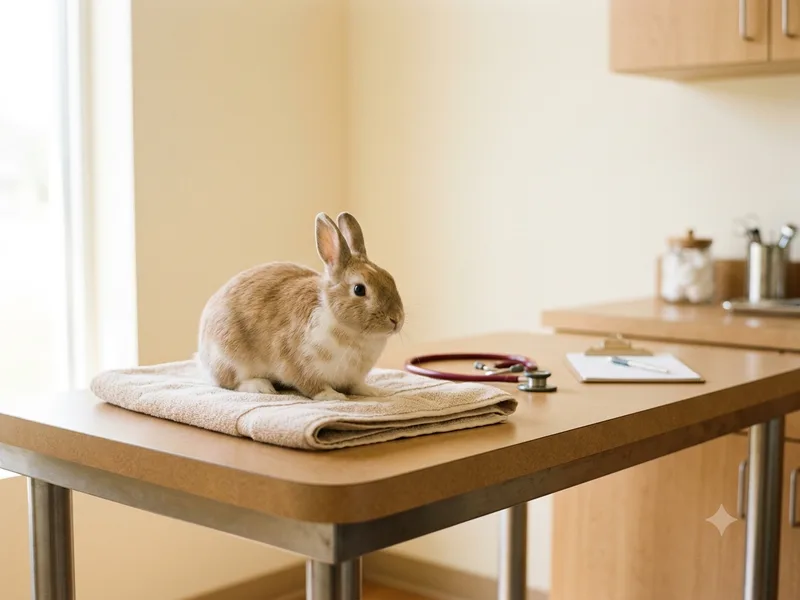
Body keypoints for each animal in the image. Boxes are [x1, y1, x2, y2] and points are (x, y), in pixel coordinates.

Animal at [196, 211, 405, 401]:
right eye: (359, 289)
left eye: (390, 278)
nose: (397, 319)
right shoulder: (299, 362)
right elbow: (312, 385)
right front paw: (332, 395)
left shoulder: (353, 377)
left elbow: (356, 385)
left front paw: (372, 391)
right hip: (229, 357)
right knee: (229, 381)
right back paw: (262, 386)